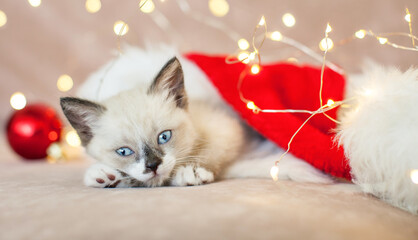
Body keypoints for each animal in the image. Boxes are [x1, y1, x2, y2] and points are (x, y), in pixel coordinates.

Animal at [60, 56, 247, 188]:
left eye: (164, 137)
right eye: (123, 151)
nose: (153, 165)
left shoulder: (226, 128)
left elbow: (209, 152)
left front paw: (190, 171)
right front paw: (102, 174)